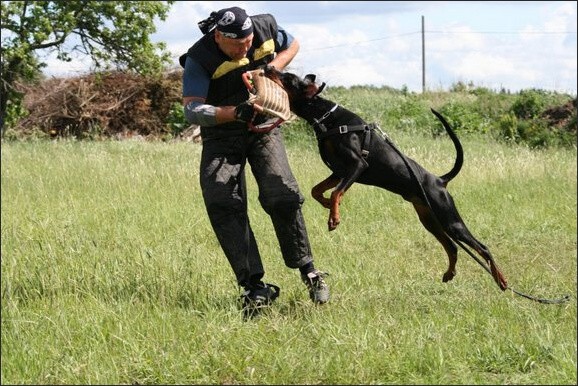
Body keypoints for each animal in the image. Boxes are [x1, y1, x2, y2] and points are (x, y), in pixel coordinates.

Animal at [264, 65, 506, 292]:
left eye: (287, 78)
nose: (268, 67)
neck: (326, 117)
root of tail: (439, 180)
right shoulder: (340, 171)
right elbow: (317, 190)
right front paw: (327, 205)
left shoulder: (357, 165)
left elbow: (335, 192)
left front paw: (333, 218)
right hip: (429, 219)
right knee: (453, 247)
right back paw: (449, 274)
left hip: (449, 218)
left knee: (482, 247)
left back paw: (501, 280)